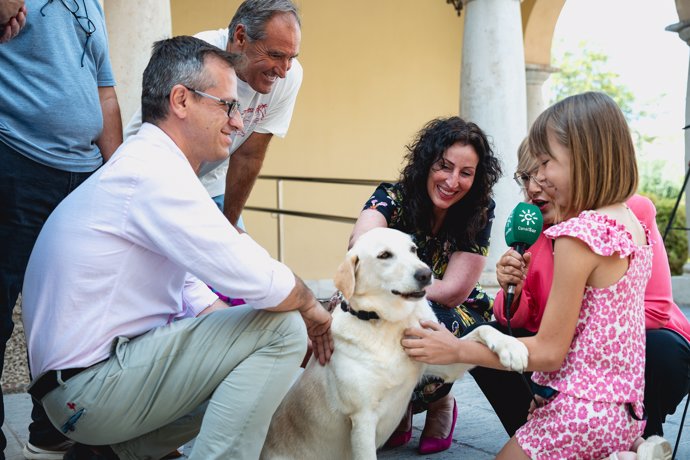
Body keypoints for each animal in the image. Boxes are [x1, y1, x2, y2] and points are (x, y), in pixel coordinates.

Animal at [260, 227, 528, 460]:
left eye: (413, 249)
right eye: (384, 255)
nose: (425, 274)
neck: (386, 322)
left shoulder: (445, 363)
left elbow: (482, 329)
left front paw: (512, 347)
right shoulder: (363, 419)